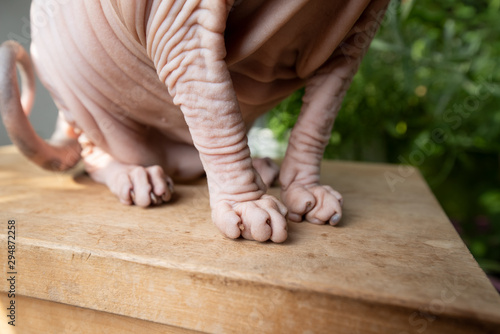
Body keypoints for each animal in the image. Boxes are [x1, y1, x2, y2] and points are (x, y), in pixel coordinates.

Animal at [0, 1, 390, 244]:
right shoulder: (180, 22)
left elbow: (320, 115)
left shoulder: (362, 29)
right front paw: (247, 206)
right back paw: (133, 176)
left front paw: (306, 189)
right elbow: (216, 111)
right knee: (95, 151)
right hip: (68, 84)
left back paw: (262, 168)